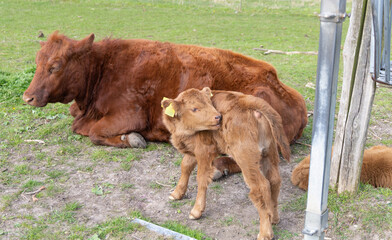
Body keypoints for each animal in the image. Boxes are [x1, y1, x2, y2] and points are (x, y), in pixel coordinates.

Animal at [23, 31, 308, 149]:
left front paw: (133, 138)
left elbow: (92, 132)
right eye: (37, 61)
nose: (28, 97)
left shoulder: (129, 114)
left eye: (55, 66)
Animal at [161, 86, 290, 240]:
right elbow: (185, 167)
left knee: (261, 187)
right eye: (194, 109)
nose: (218, 117)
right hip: (269, 154)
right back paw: (274, 218)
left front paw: (196, 211)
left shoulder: (204, 151)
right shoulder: (193, 150)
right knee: (274, 181)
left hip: (247, 160)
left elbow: (201, 178)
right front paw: (176, 193)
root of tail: (247, 101)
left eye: (209, 103)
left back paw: (265, 232)